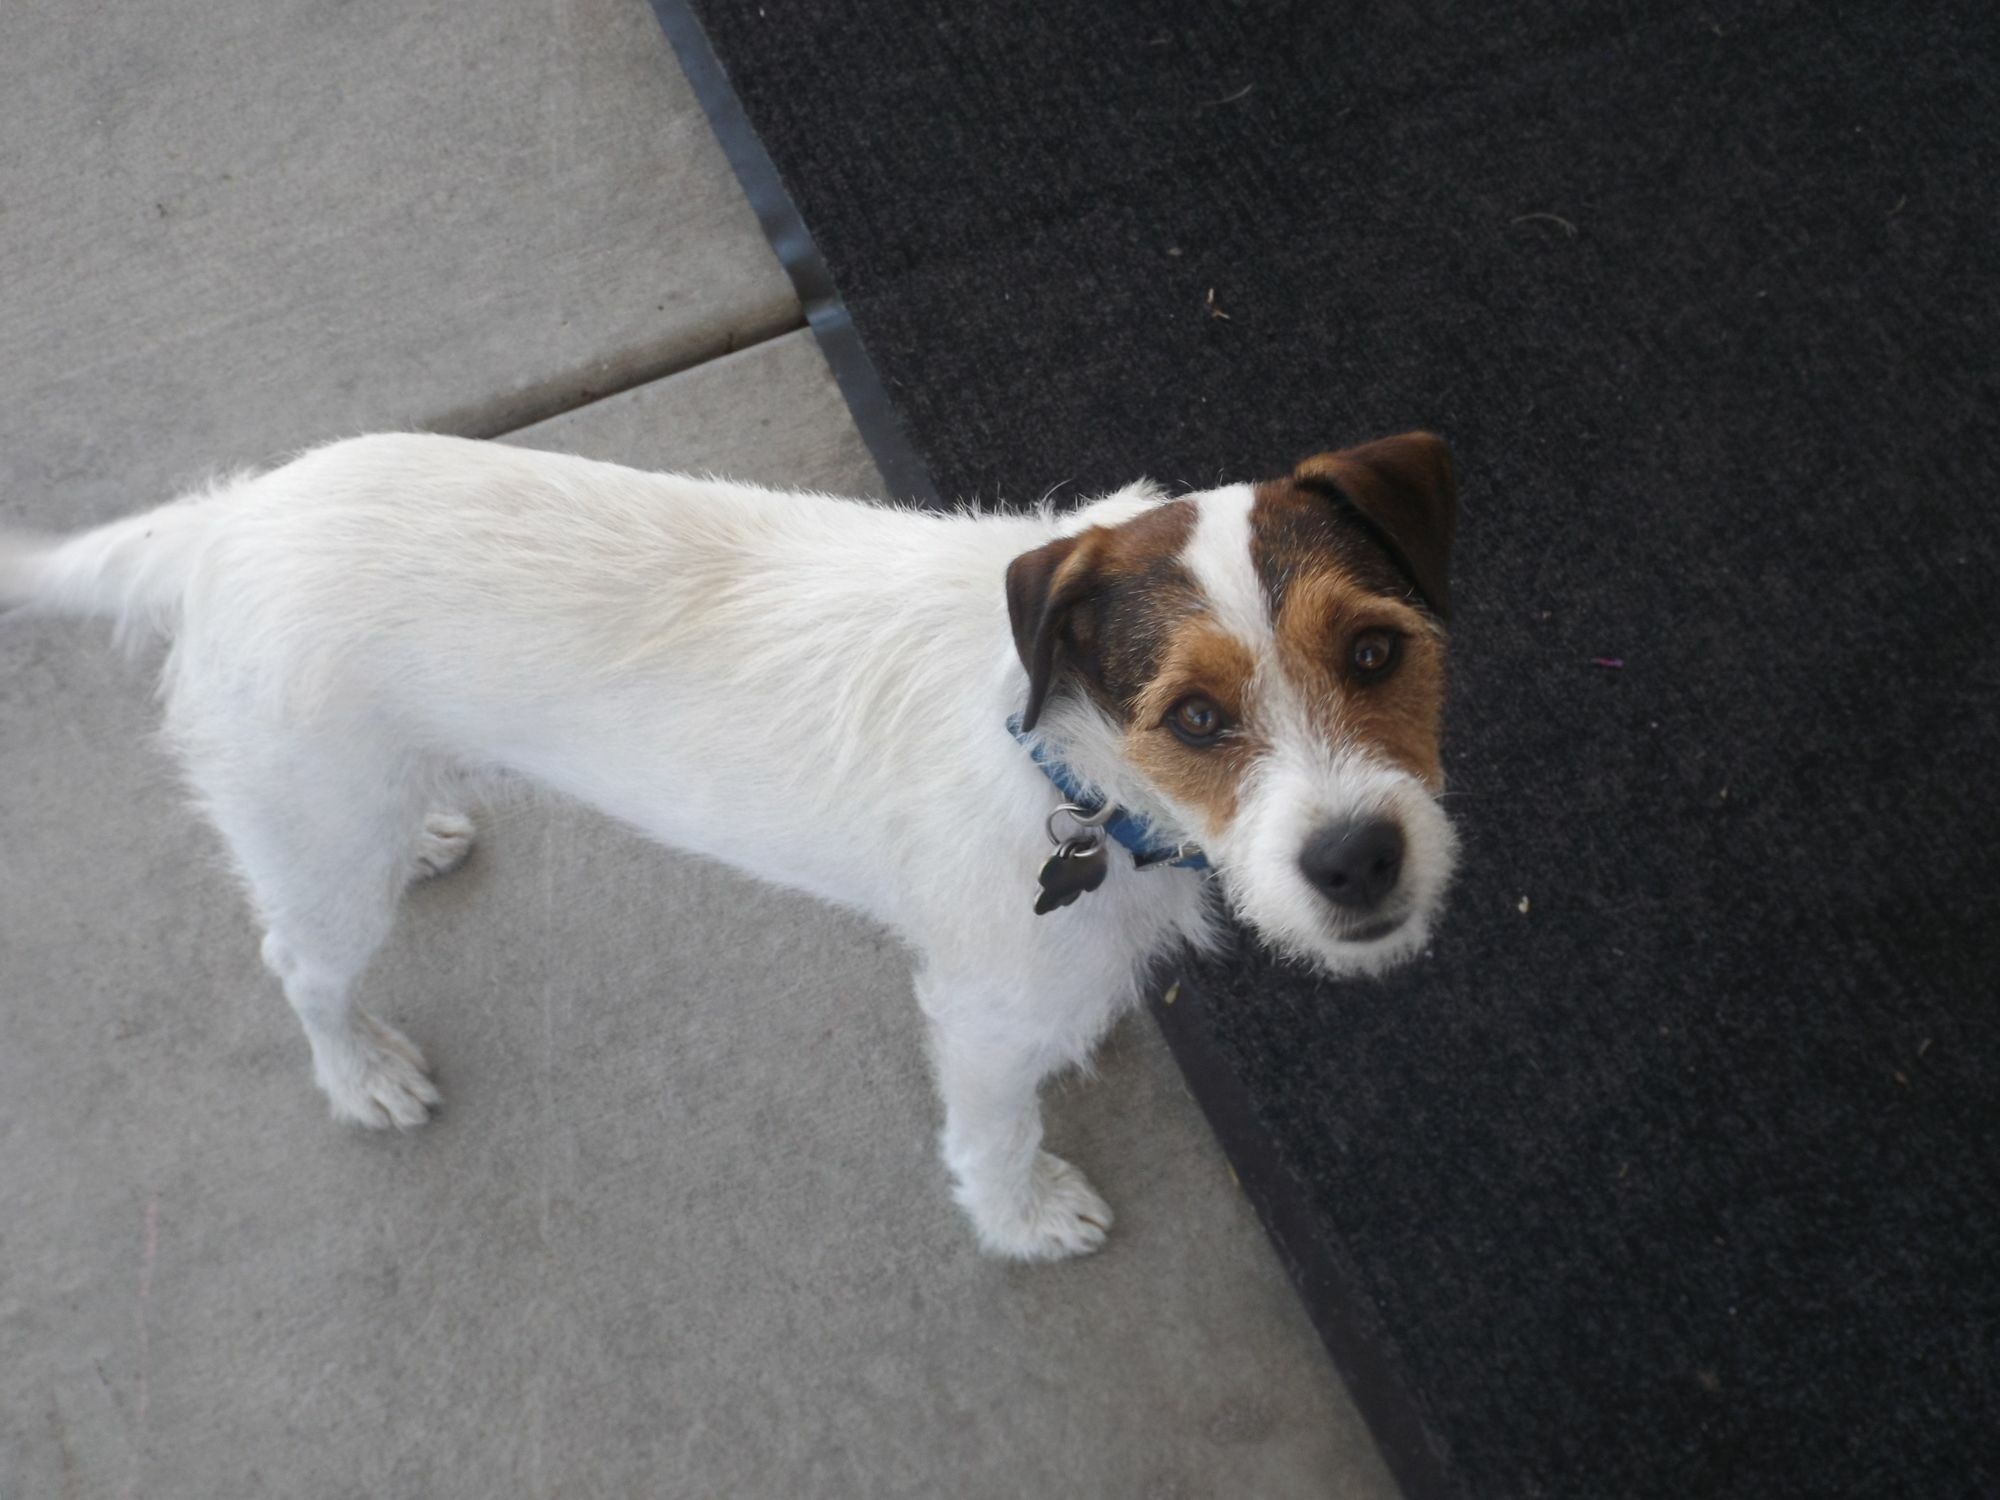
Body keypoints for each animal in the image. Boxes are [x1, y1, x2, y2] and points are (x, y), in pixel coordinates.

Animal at [3, 428, 1472, 1264]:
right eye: (1196, 717)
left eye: (1375, 651)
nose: (1358, 862)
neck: (1064, 755)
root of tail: (224, 521)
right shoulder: (982, 1019)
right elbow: (993, 1129)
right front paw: (1021, 1217)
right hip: (317, 845)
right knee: (299, 964)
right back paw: (359, 1071)